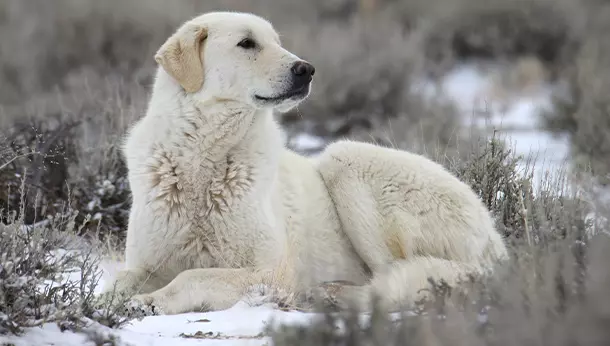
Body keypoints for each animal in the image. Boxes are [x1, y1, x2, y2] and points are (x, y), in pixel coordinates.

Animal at [104, 10, 508, 314]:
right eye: (247, 43)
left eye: (277, 41)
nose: (307, 69)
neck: (204, 160)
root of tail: (497, 244)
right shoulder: (147, 260)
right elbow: (122, 279)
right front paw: (113, 299)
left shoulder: (270, 271)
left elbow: (193, 277)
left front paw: (151, 302)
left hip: (345, 159)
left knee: (394, 281)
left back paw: (332, 295)